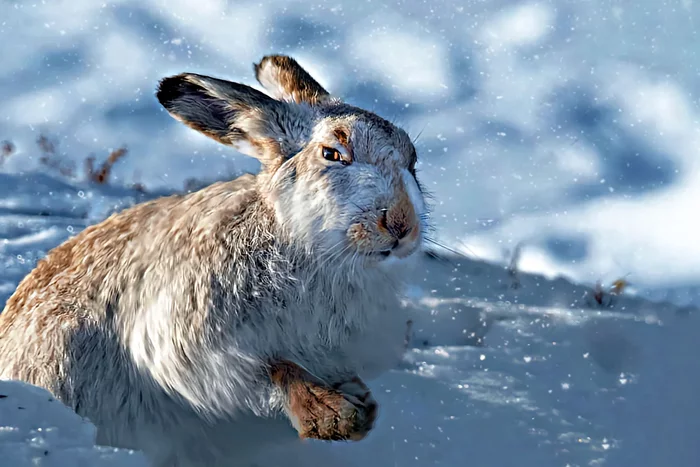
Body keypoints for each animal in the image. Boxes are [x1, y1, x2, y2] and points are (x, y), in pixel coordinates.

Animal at [0, 55, 429, 467]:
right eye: (333, 154)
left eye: (412, 161)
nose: (401, 225)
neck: (311, 251)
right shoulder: (196, 348)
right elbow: (275, 370)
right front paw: (332, 416)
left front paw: (360, 404)